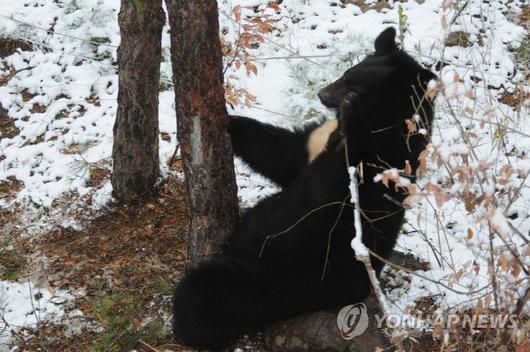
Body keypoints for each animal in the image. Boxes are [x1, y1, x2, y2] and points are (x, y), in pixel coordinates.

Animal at [171, 27, 436, 350]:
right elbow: (283, 152)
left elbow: (332, 191)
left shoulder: (384, 163)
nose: (322, 94)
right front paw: (229, 120)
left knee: (207, 292)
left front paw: (352, 119)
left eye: (356, 87)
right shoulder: (314, 143)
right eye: (347, 73)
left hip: (287, 276)